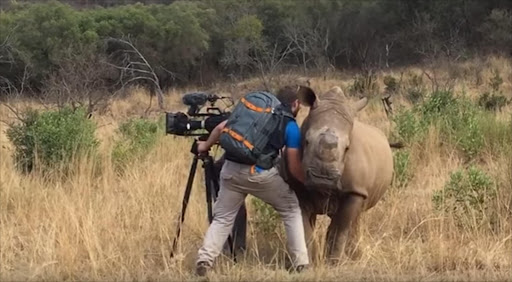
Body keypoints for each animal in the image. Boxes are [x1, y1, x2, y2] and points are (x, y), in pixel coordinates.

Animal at [278, 85, 394, 264]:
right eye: (306, 141)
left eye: (347, 148)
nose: (323, 179)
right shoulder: (298, 187)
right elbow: (304, 225)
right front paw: (310, 261)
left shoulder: (355, 190)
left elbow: (340, 228)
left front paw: (334, 263)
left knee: (355, 217)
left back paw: (354, 257)